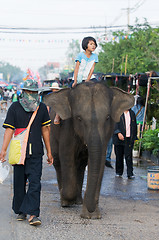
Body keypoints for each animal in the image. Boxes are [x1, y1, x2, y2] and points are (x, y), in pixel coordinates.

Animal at [44, 81, 135, 219]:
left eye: (107, 117)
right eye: (78, 118)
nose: (91, 210)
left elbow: (100, 161)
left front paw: (92, 216)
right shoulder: (67, 128)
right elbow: (66, 156)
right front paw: (68, 198)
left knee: (81, 166)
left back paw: (78, 201)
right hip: (52, 135)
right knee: (58, 162)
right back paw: (65, 201)